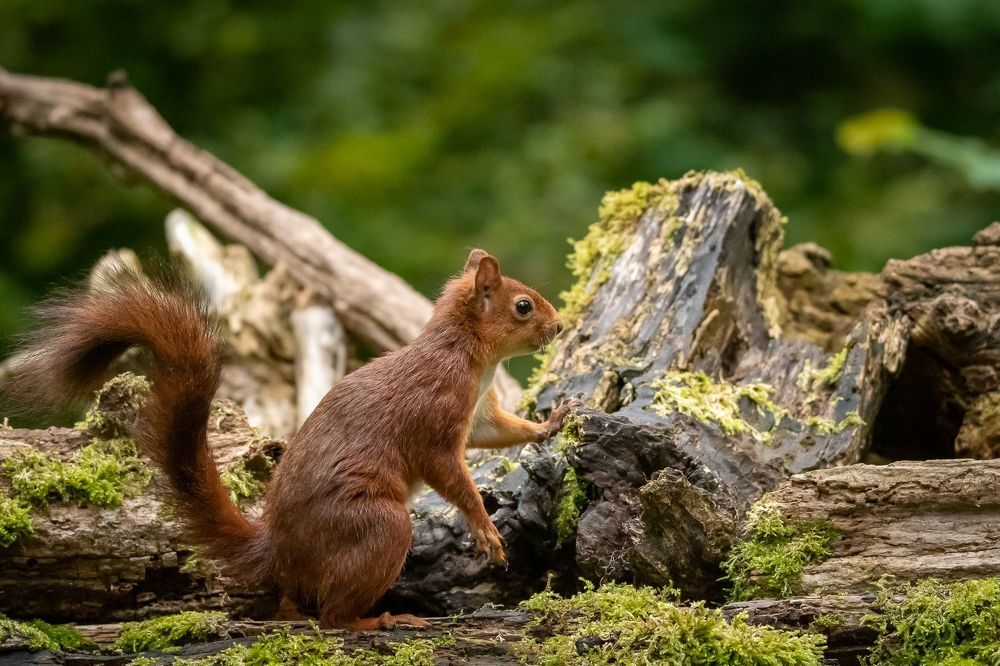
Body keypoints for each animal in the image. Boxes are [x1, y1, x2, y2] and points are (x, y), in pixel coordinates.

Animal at [7, 249, 569, 630]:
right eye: (523, 306)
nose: (560, 326)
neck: (469, 357)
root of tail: (278, 551)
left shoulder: (478, 415)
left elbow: (501, 432)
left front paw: (551, 423)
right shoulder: (434, 419)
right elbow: (451, 476)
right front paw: (486, 532)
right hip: (378, 525)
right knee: (333, 617)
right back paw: (378, 620)